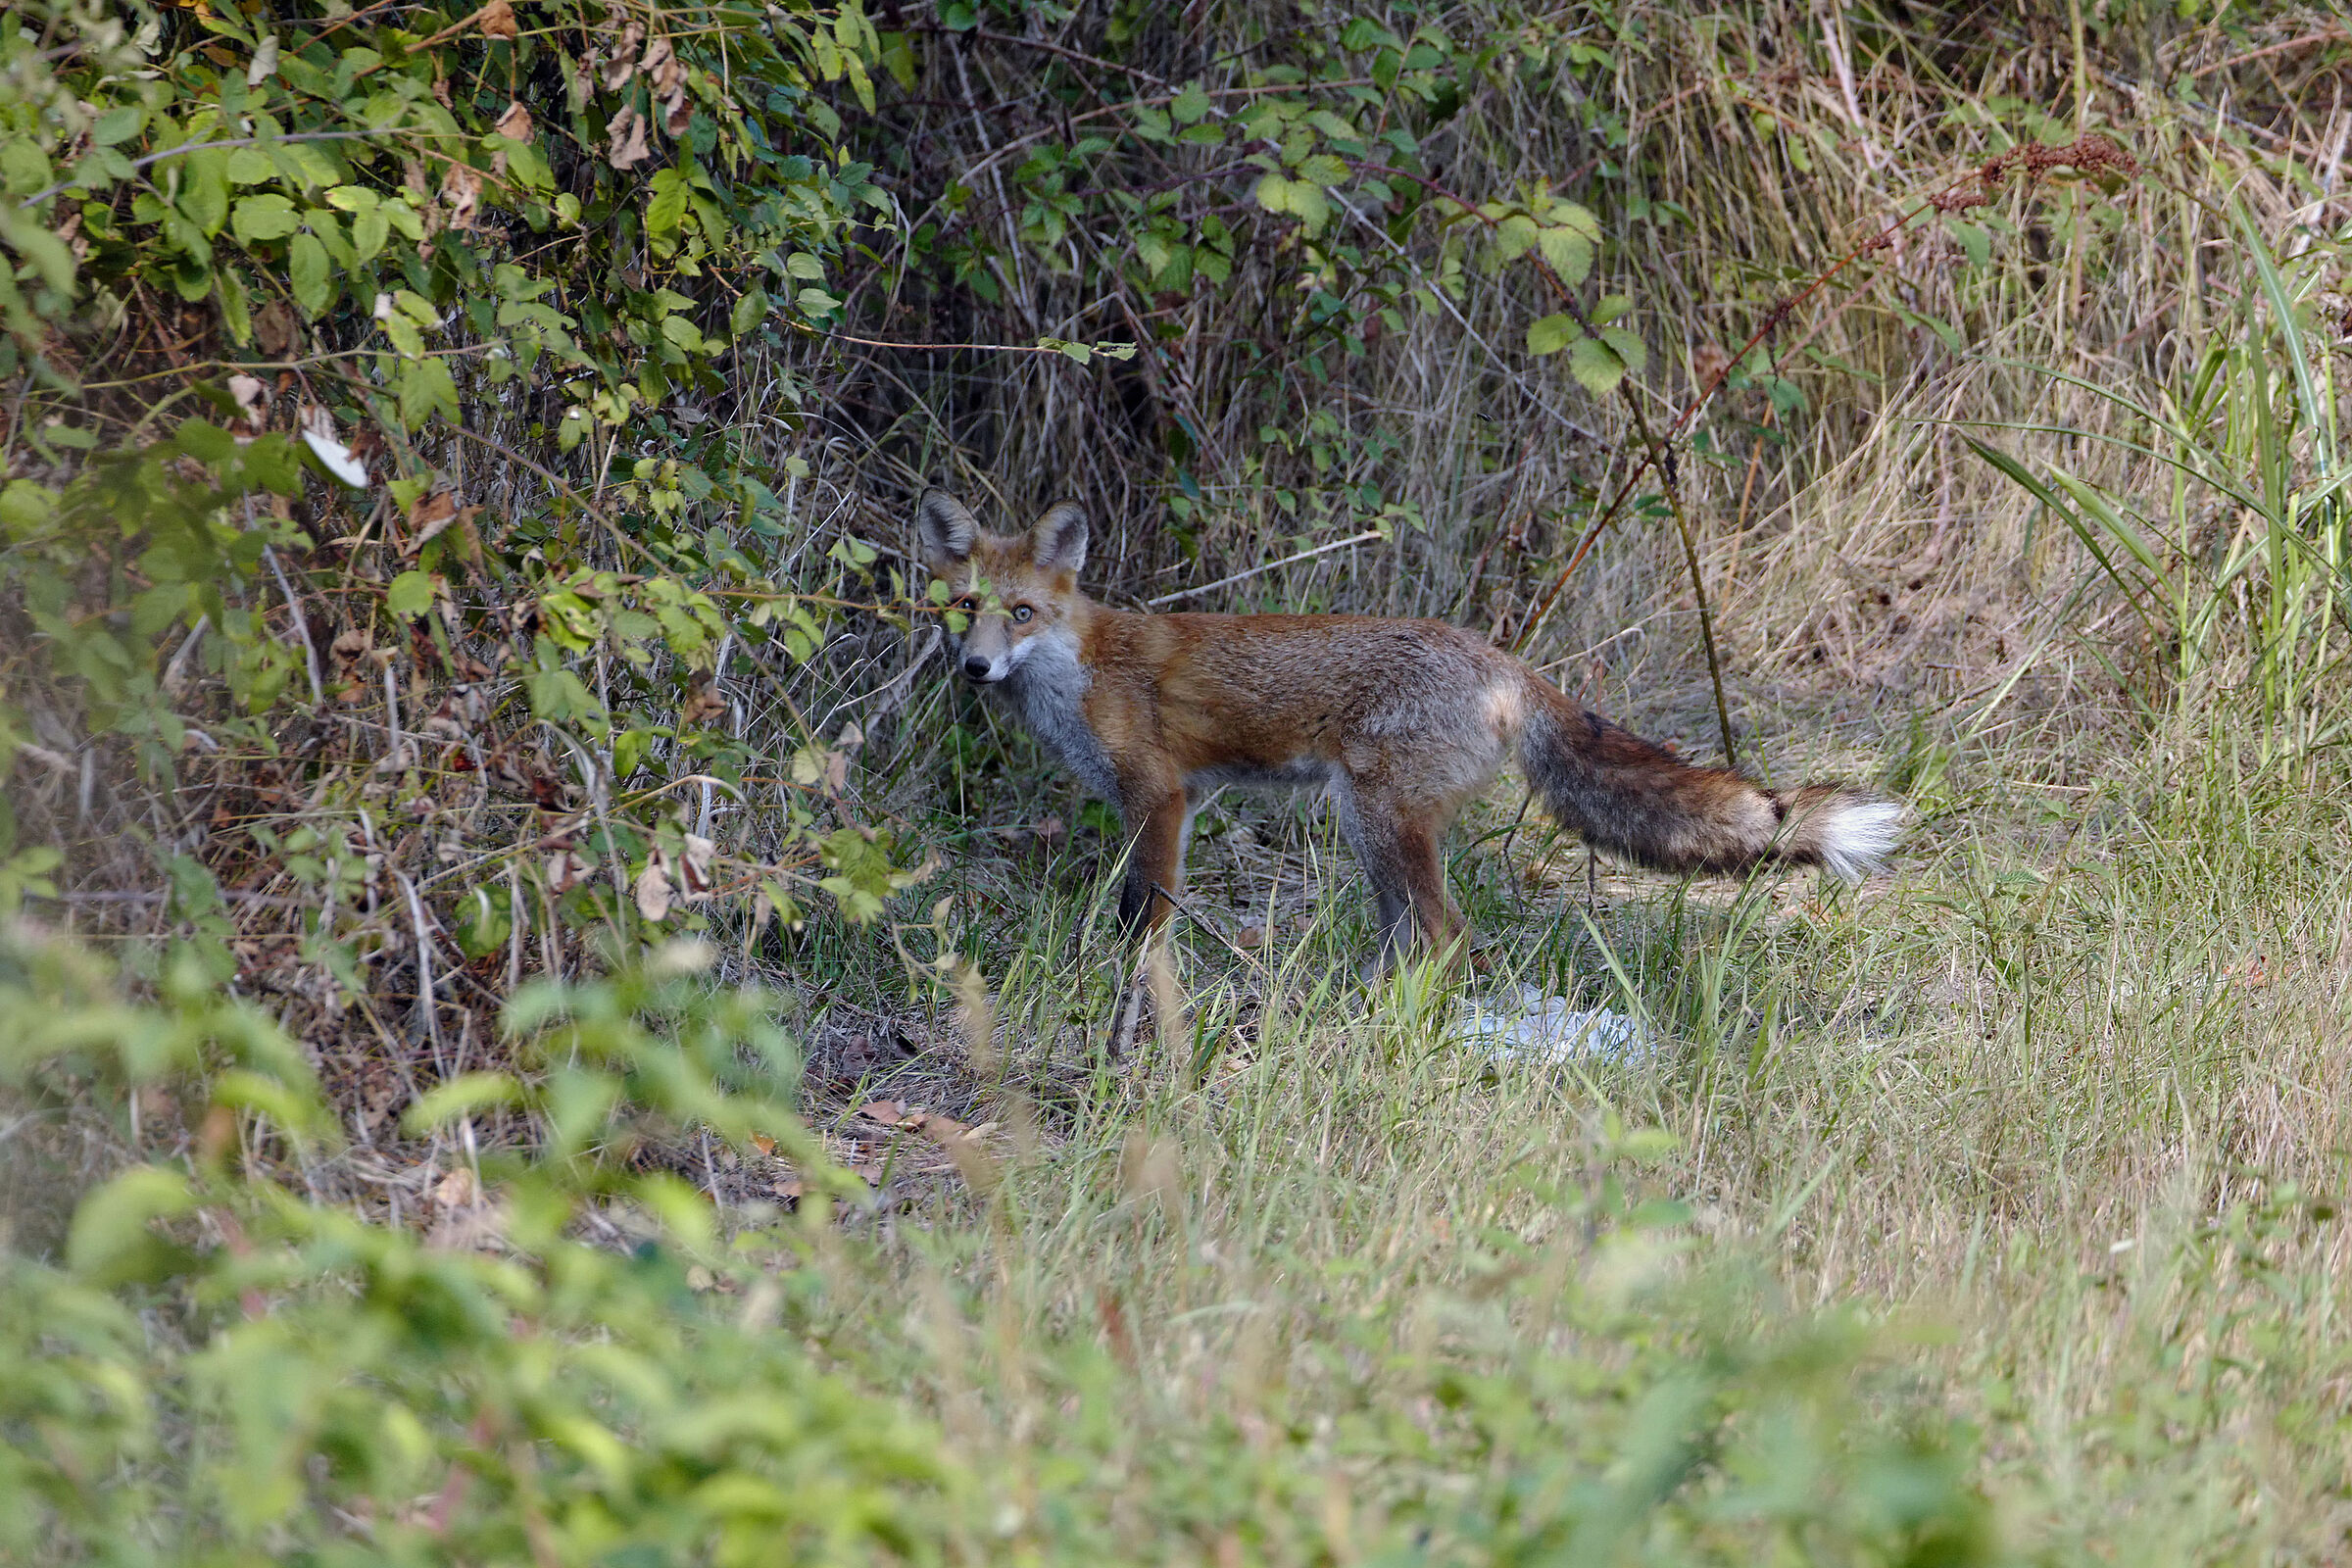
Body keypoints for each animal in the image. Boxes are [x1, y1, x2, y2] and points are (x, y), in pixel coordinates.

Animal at [916, 489, 1901, 970]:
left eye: (1021, 613)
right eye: (964, 608)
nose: (975, 670)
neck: (1081, 669)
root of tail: (1503, 660)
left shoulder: (1157, 798)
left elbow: (1142, 918)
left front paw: (1129, 997)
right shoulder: (1175, 801)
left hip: (1378, 817)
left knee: (1447, 937)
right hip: (1378, 831)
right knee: (1414, 938)